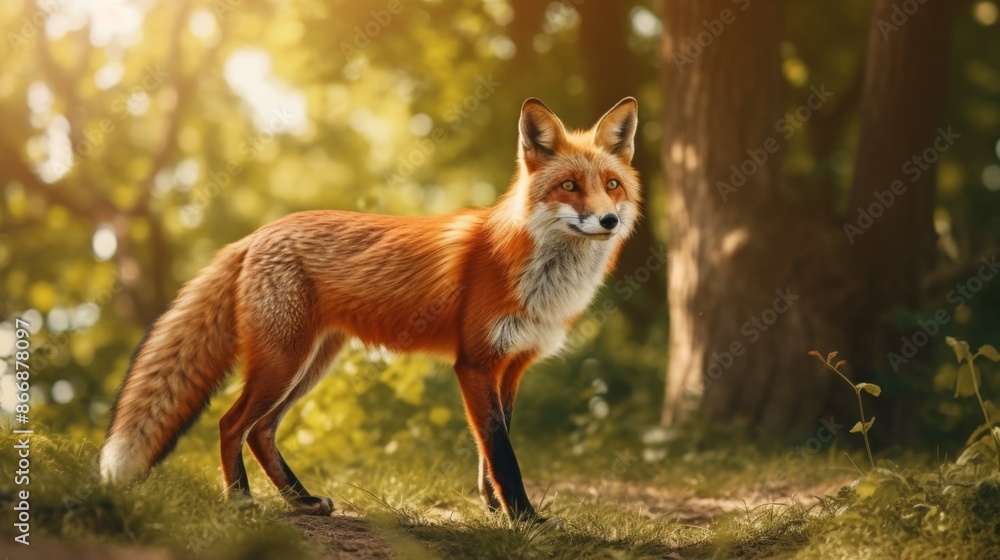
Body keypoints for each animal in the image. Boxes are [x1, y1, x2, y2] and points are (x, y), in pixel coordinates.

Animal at [100, 97, 641, 521]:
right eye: (569, 186)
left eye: (612, 185)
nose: (609, 220)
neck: (539, 276)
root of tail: (257, 234)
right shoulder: (474, 363)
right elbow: (502, 454)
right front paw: (524, 519)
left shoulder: (512, 366)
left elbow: (491, 452)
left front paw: (495, 509)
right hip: (282, 362)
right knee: (232, 424)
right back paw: (241, 502)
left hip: (310, 365)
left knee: (261, 432)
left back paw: (301, 501)